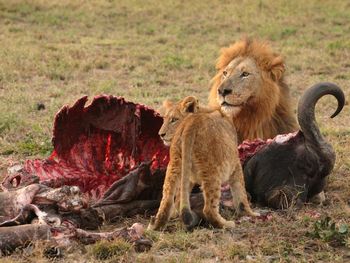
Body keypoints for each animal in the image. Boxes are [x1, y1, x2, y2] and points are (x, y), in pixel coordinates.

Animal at [146, 96, 258, 231]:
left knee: (166, 200)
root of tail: (191, 123)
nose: (160, 135)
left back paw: (156, 225)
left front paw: (175, 214)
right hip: (212, 169)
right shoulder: (235, 163)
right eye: (165, 119)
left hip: (175, 165)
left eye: (173, 120)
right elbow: (240, 192)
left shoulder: (188, 176)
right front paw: (250, 213)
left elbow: (180, 197)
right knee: (209, 209)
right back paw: (226, 224)